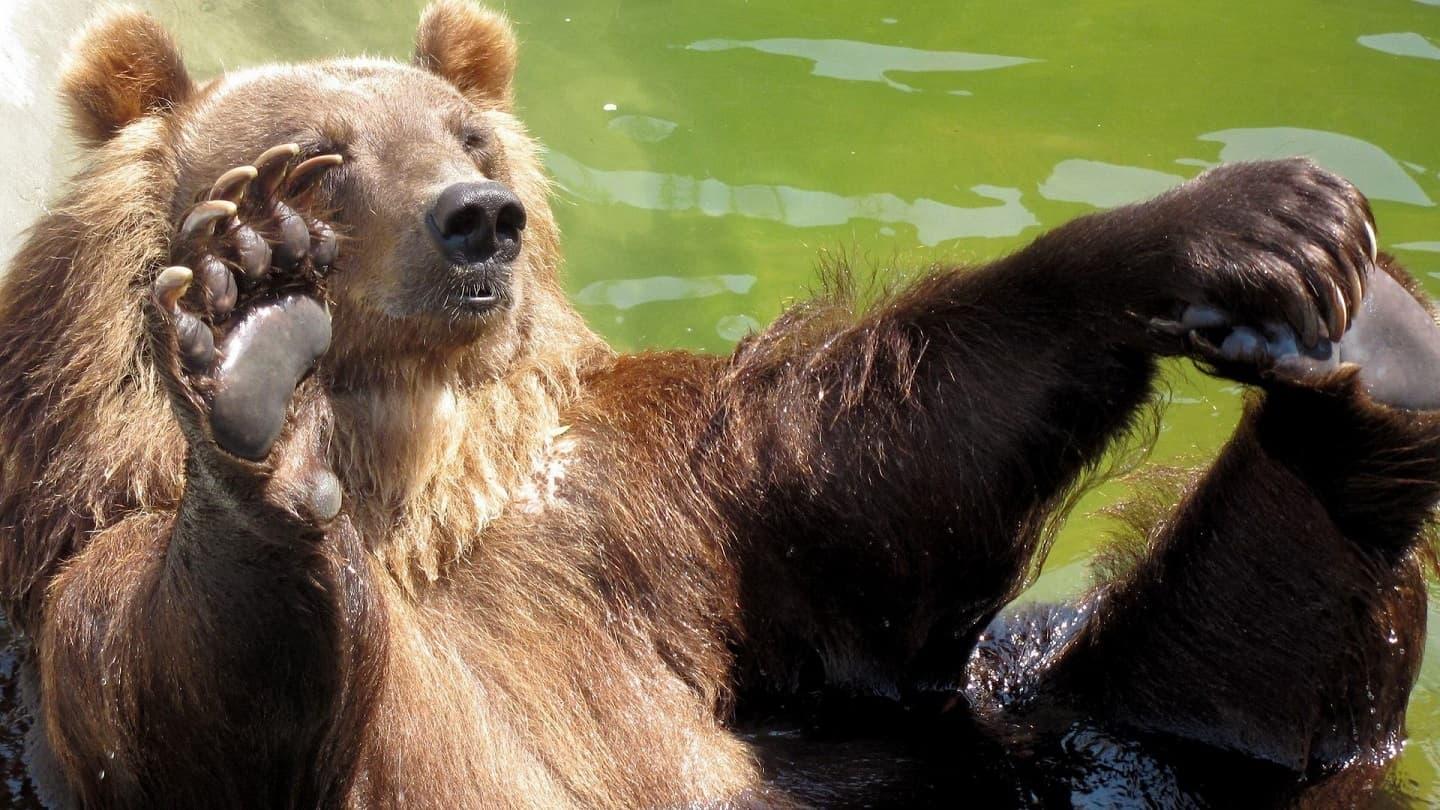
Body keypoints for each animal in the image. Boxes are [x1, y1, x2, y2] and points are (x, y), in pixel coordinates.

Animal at [0, 1, 1438, 807]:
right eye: (319, 161)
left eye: (467, 134)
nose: (478, 219)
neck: (424, 488)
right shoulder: (88, 590)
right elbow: (179, 682)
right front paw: (255, 361)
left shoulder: (646, 506)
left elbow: (865, 477)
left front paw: (1236, 219)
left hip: (1010, 748)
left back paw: (1373, 361)